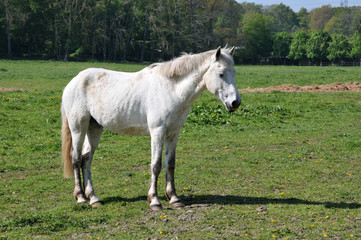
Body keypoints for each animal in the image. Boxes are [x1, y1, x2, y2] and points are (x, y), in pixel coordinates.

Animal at [62, 47, 240, 210]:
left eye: (234, 72)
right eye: (221, 74)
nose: (235, 102)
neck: (171, 89)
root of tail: (73, 82)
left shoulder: (173, 133)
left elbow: (170, 164)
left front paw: (174, 198)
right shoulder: (158, 132)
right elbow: (156, 166)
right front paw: (154, 200)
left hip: (94, 128)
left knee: (86, 159)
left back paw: (93, 198)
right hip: (78, 127)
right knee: (76, 158)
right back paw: (81, 197)